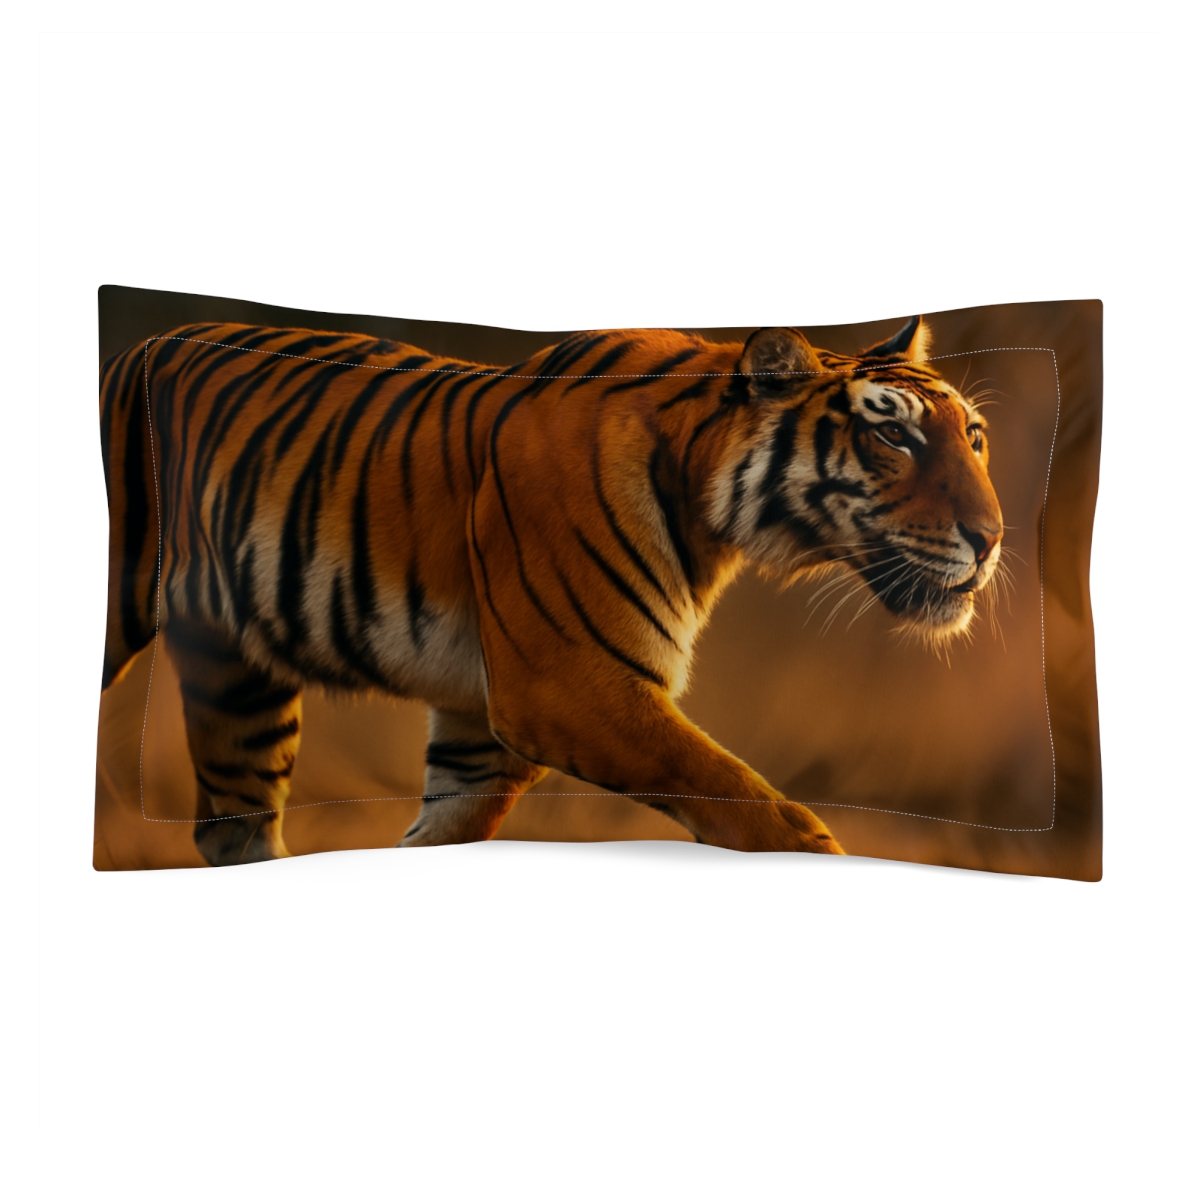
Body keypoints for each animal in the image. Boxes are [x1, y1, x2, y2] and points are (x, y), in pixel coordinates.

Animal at [98, 314, 1003, 866]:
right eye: (892, 435)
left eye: (975, 436)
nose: (993, 539)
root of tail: (141, 344)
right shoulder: (571, 689)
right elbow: (760, 809)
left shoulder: (482, 727)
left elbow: (443, 830)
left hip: (241, 684)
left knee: (233, 824)